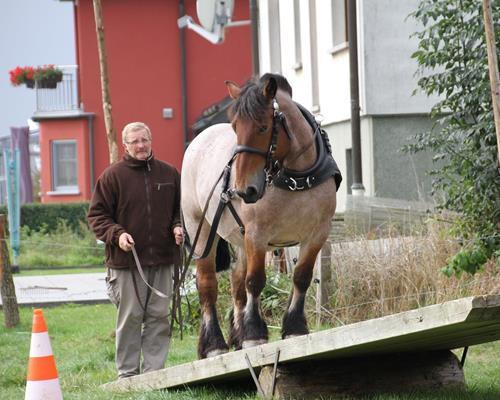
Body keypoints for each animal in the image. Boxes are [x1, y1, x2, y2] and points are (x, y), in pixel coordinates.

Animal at [182, 73, 342, 358]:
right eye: (235, 127)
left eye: (263, 127)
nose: (244, 189)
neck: (295, 177)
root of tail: (199, 139)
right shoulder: (257, 234)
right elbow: (255, 281)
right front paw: (254, 334)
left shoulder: (317, 234)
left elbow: (301, 277)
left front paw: (294, 328)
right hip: (199, 229)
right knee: (208, 283)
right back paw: (214, 344)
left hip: (239, 235)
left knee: (236, 281)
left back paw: (236, 334)